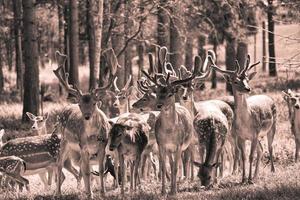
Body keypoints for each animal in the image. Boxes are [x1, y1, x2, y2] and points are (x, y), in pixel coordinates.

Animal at [52, 49, 116, 197]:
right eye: (80, 104)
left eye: (94, 103)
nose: (86, 116)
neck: (92, 137)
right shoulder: (84, 146)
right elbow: (87, 171)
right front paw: (91, 194)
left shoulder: (102, 147)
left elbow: (100, 170)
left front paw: (102, 193)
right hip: (64, 141)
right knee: (59, 163)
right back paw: (58, 193)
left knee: (79, 166)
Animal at [211, 54, 276, 184]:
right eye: (235, 81)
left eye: (247, 80)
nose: (248, 89)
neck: (246, 122)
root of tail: (269, 97)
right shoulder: (240, 136)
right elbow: (244, 156)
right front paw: (243, 179)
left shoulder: (255, 134)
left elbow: (251, 156)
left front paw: (249, 179)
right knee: (261, 149)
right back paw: (256, 175)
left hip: (272, 127)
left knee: (270, 148)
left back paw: (272, 170)